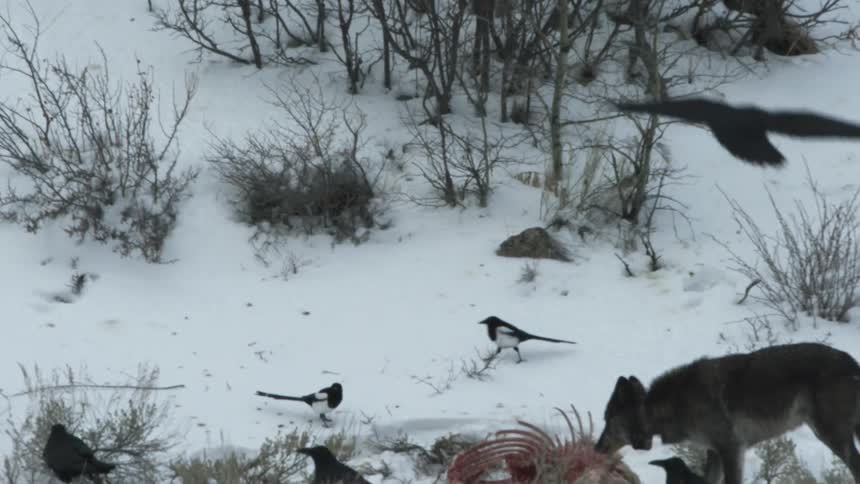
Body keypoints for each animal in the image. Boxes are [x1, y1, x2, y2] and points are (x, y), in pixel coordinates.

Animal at [594, 342, 860, 484]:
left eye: (608, 421)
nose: (596, 449)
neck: (673, 405)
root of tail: (851, 362)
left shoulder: (731, 449)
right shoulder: (714, 452)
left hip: (831, 436)